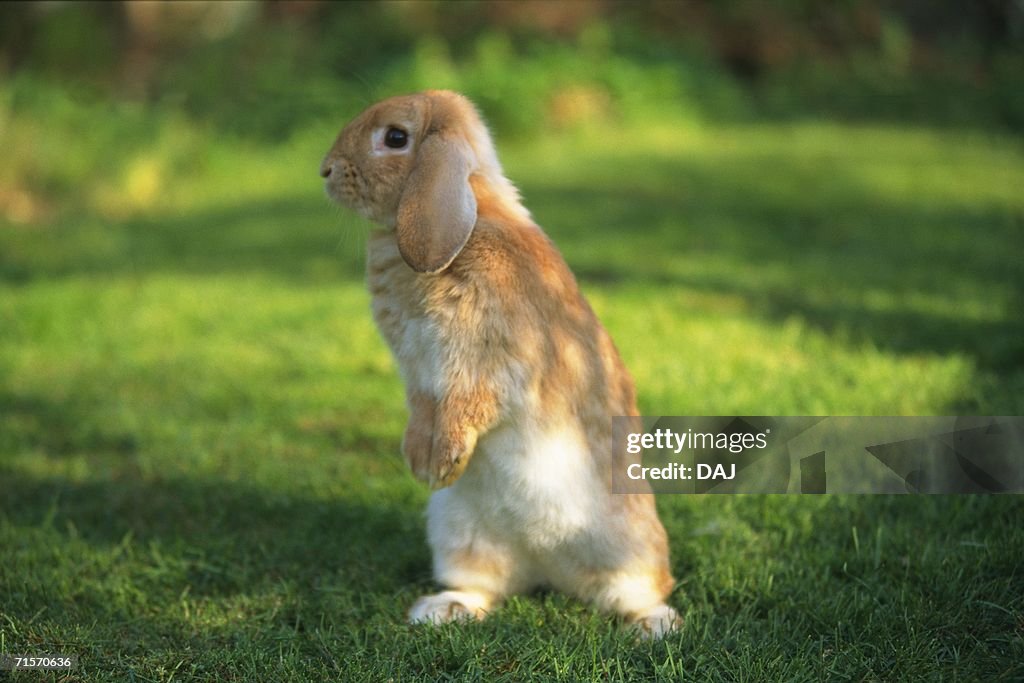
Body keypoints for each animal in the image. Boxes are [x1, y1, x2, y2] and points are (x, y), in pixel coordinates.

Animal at [320, 90, 680, 637]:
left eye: (396, 137)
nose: (326, 169)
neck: (468, 228)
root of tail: (547, 565)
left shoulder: (489, 363)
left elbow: (468, 404)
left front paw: (441, 461)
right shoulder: (419, 372)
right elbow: (424, 408)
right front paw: (420, 461)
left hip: (628, 544)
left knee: (639, 589)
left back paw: (654, 625)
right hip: (457, 534)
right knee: (484, 587)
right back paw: (443, 609)